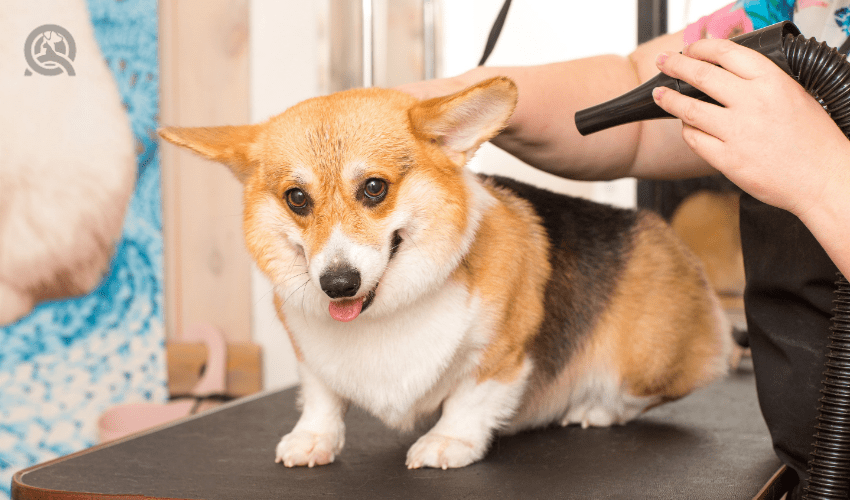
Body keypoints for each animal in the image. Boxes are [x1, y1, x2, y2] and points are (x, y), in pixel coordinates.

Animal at [159, 77, 728, 468]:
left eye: (374, 188)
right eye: (297, 198)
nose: (337, 284)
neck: (387, 314)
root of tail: (662, 230)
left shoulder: (503, 354)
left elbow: (470, 398)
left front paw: (446, 442)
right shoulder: (309, 354)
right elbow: (321, 394)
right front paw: (314, 437)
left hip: (650, 362)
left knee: (636, 395)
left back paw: (596, 407)